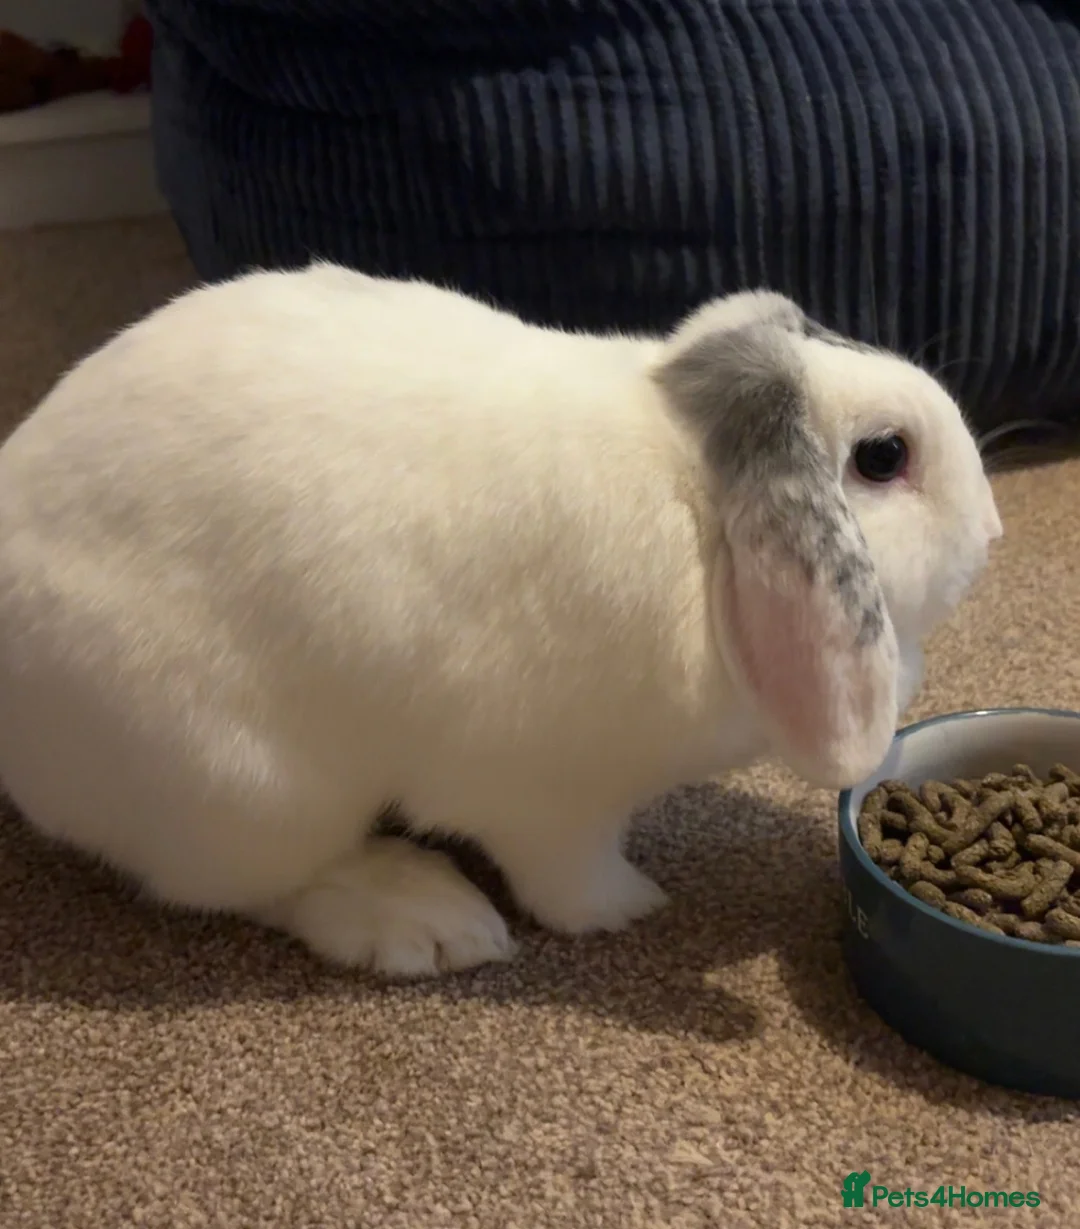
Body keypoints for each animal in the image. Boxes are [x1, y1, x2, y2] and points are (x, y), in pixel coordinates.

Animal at [0, 264, 1003, 978]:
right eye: (883, 456)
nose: (993, 529)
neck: (696, 497)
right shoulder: (551, 799)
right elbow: (567, 876)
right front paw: (631, 906)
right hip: (248, 793)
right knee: (249, 882)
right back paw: (426, 919)